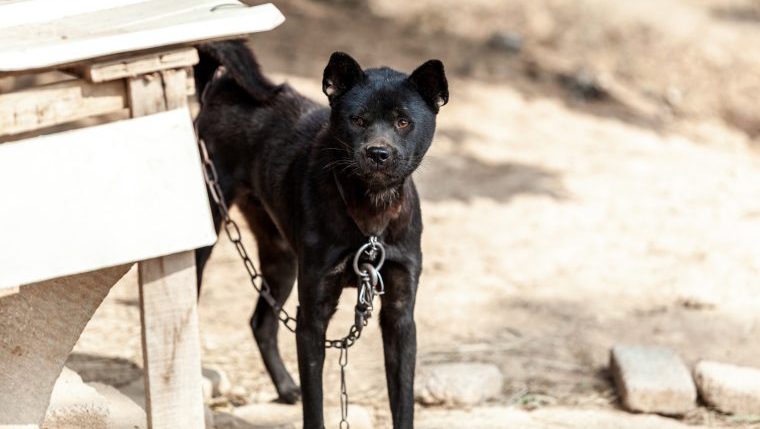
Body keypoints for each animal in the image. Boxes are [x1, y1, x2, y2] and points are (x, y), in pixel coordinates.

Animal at [193, 41, 448, 428]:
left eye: (403, 121)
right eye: (357, 120)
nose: (378, 153)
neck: (370, 214)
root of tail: (220, 89)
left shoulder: (400, 316)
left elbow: (402, 402)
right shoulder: (313, 315)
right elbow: (316, 406)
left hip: (281, 258)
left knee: (261, 323)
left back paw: (285, 387)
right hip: (206, 237)